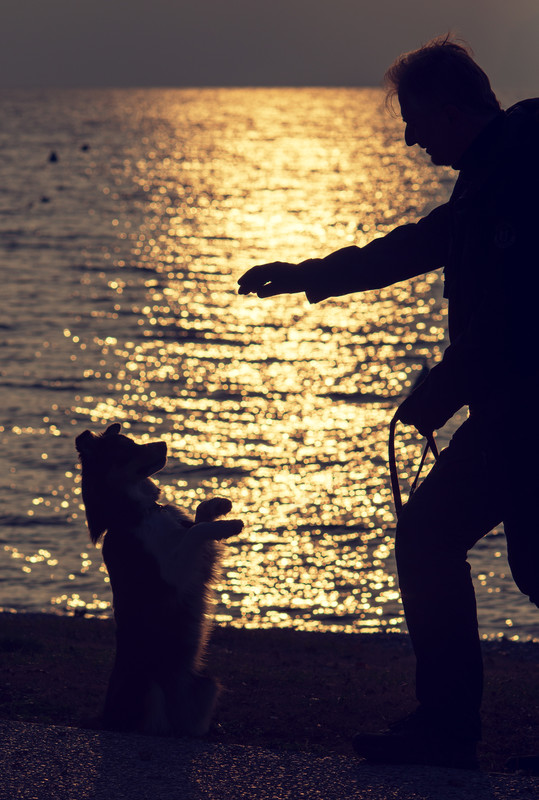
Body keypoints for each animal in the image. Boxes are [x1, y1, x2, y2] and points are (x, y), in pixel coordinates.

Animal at [75, 424, 244, 736]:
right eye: (126, 449)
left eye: (132, 440)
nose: (165, 443)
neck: (140, 512)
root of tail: (105, 718)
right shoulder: (174, 574)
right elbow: (196, 531)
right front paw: (228, 525)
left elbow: (198, 519)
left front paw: (219, 504)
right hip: (148, 690)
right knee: (153, 727)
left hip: (207, 684)